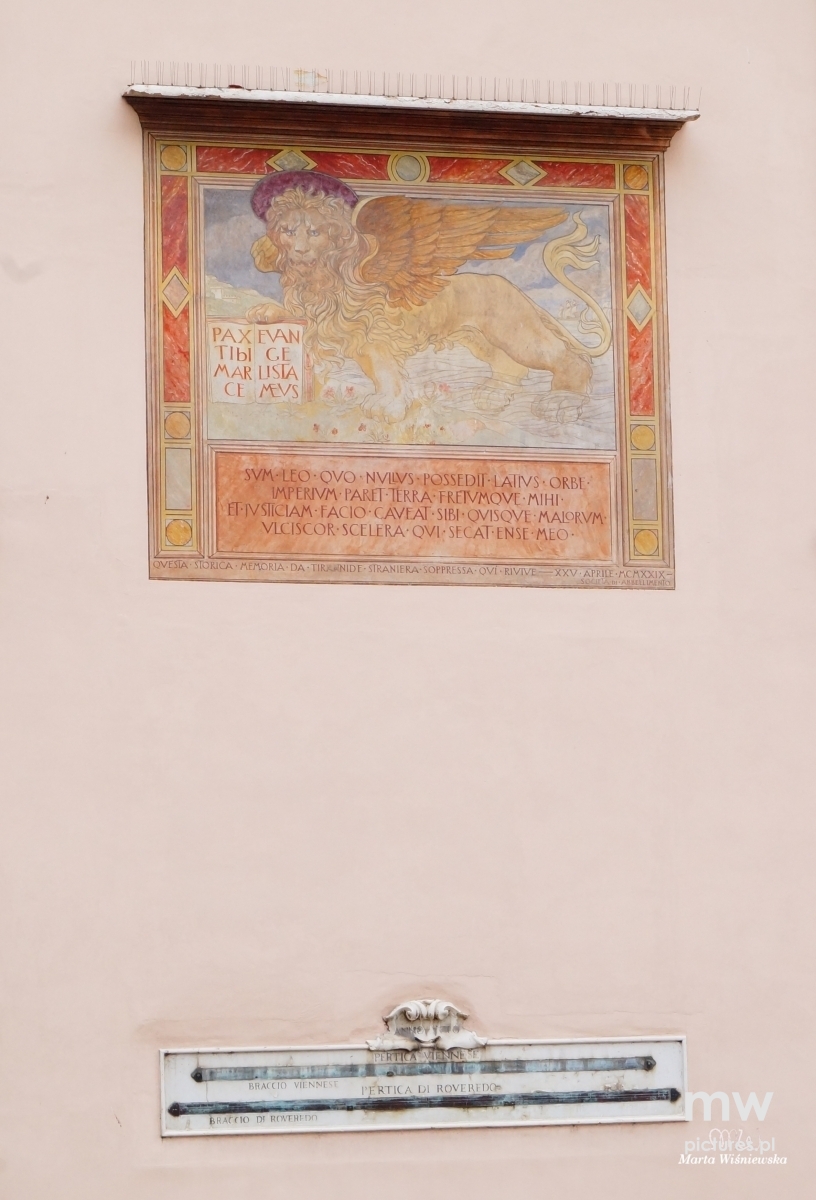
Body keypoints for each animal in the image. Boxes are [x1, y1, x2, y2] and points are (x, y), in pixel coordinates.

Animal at [246, 170, 610, 423]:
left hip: (514, 331)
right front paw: (265, 311)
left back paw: (562, 401)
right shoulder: (329, 322)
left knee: (566, 357)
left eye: (315, 232)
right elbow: (300, 317)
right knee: (510, 365)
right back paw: (494, 395)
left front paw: (389, 406)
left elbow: (387, 373)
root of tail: (508, 286)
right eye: (288, 231)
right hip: (480, 338)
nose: (299, 252)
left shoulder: (375, 332)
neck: (322, 277)